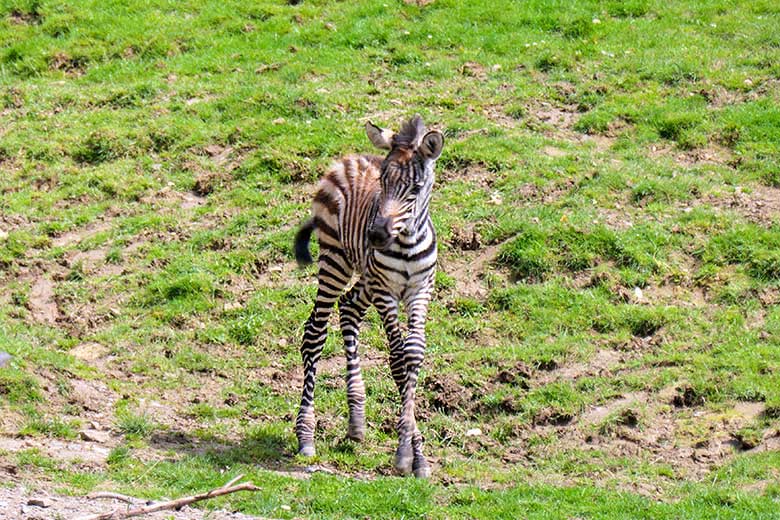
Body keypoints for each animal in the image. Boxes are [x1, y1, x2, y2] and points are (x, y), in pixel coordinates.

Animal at [292, 116, 442, 478]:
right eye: (382, 182)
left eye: (415, 189)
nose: (376, 235)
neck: (407, 242)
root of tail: (350, 159)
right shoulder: (386, 292)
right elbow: (398, 361)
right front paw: (405, 455)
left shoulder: (420, 291)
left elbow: (413, 354)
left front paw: (418, 456)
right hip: (336, 261)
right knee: (314, 333)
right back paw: (306, 435)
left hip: (365, 278)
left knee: (348, 306)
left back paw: (356, 421)